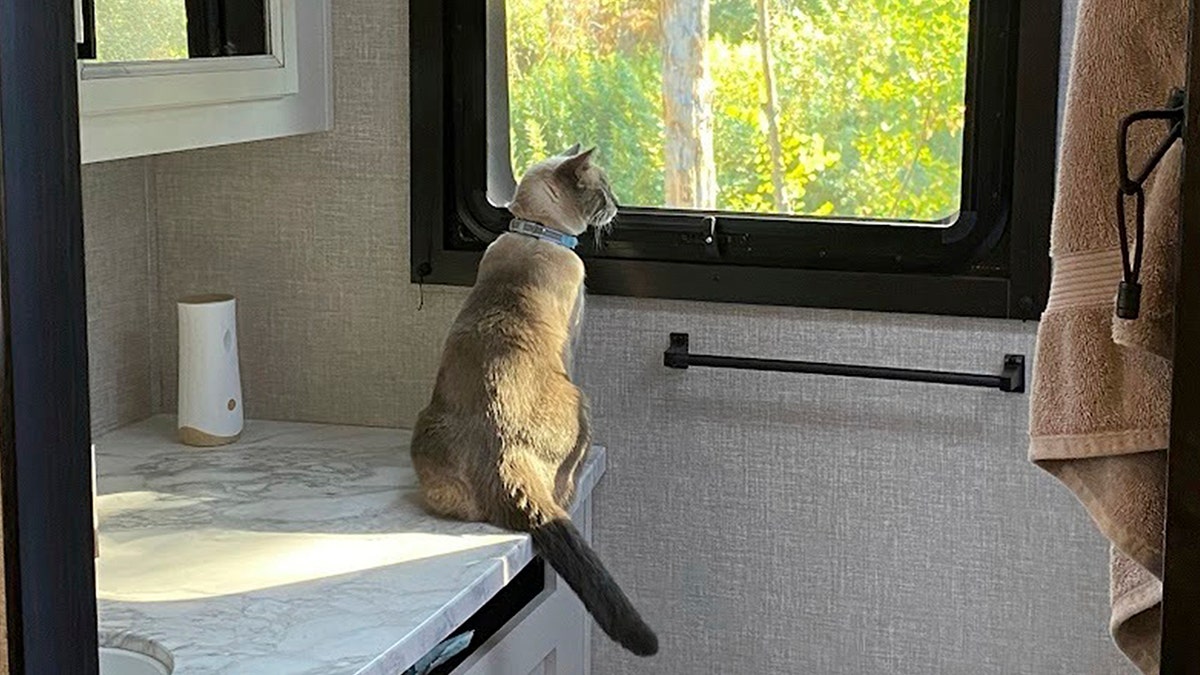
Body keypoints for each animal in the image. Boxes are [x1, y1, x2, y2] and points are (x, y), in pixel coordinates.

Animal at [410, 145, 657, 653]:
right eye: (604, 190)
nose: (618, 206)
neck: (535, 233)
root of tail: (503, 451)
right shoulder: (573, 340)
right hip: (581, 400)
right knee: (563, 490)